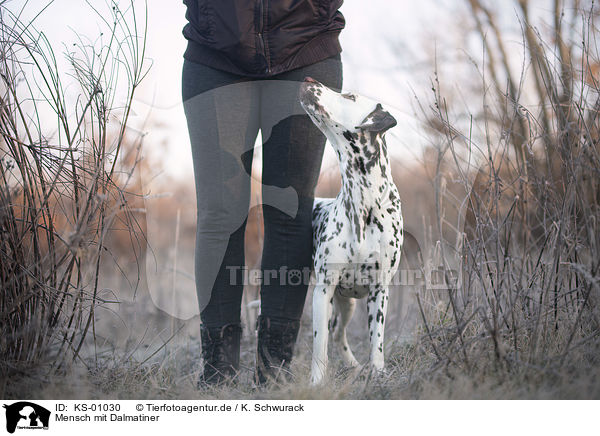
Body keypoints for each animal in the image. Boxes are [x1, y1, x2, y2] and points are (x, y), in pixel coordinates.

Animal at [298, 76, 404, 384]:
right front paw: (317, 383)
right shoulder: (323, 291)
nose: (308, 78)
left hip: (348, 304)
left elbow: (376, 342)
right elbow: (319, 346)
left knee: (338, 334)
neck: (363, 202)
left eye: (350, 97)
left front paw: (378, 373)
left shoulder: (379, 291)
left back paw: (356, 367)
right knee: (331, 334)